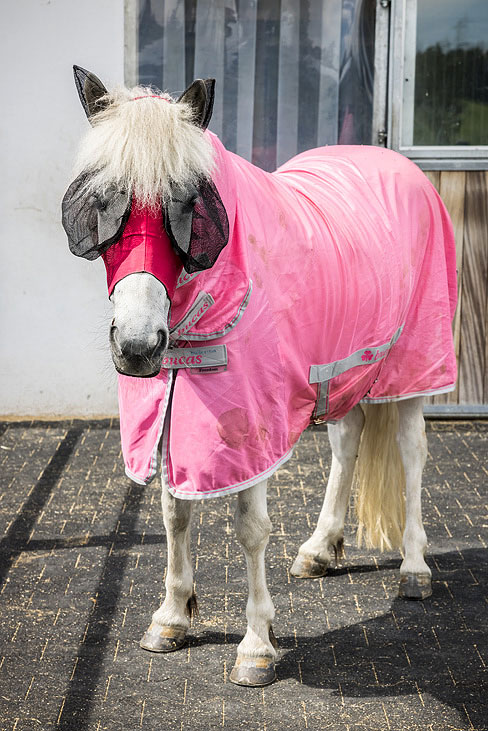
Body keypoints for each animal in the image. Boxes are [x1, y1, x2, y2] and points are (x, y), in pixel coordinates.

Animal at [62, 66, 457, 687]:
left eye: (188, 207)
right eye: (102, 203)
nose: (138, 345)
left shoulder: (254, 422)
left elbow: (250, 529)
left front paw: (256, 645)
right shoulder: (178, 408)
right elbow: (175, 511)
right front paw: (172, 616)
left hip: (412, 365)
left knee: (412, 449)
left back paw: (414, 568)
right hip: (339, 368)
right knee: (347, 442)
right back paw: (319, 548)